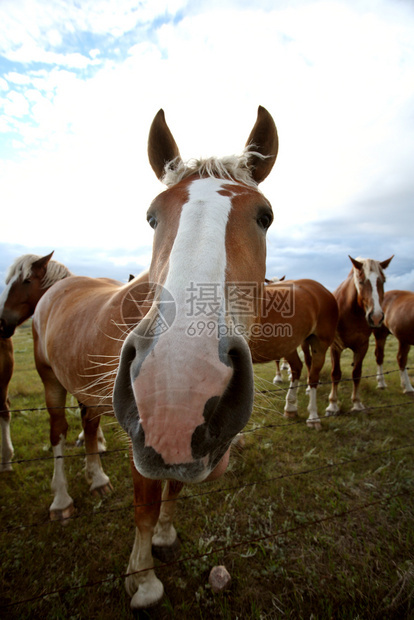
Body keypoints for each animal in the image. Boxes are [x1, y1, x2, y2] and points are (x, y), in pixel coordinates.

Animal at [110, 105, 278, 604]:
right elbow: (144, 506)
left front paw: (164, 539)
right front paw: (143, 580)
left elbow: (172, 491)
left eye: (265, 217)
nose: (175, 391)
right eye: (151, 217)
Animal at [247, 278, 338, 428]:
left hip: (320, 345)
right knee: (297, 367)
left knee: (313, 377)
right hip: (288, 345)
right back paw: (290, 408)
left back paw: (313, 417)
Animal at [326, 254, 392, 414]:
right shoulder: (335, 347)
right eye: (361, 282)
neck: (351, 312)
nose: (376, 317)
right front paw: (333, 405)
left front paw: (357, 403)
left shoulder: (362, 346)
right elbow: (335, 373)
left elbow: (356, 373)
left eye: (382, 281)